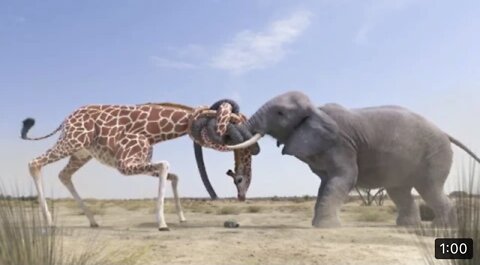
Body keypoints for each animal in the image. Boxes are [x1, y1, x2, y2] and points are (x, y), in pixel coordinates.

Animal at [22, 102, 251, 230]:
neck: (153, 131)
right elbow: (166, 165)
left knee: (64, 175)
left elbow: (173, 175)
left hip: (81, 153)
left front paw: (181, 218)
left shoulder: (138, 161)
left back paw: (93, 221)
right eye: (232, 125)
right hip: (71, 142)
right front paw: (162, 224)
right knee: (34, 163)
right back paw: (49, 222)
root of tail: (65, 120)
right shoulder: (124, 164)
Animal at [227, 91, 480, 227]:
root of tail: (445, 133)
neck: (317, 110)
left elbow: (344, 177)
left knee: (429, 188)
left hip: (435, 155)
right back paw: (408, 226)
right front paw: (320, 225)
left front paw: (325, 228)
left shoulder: (341, 144)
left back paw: (441, 227)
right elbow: (326, 183)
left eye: (280, 113)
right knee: (399, 191)